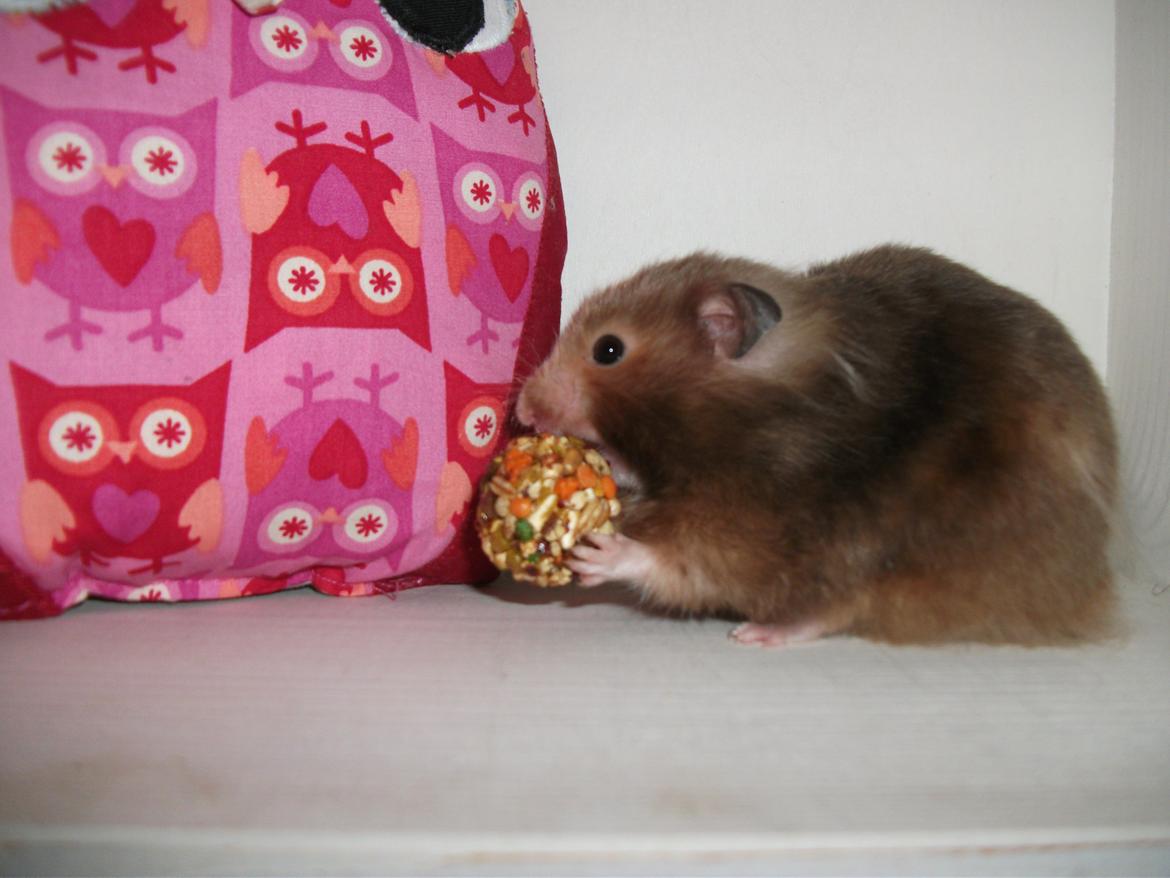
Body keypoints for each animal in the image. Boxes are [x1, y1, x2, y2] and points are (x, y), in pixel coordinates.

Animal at [514, 245, 1118, 646]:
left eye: (608, 349)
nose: (522, 409)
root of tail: (1095, 578)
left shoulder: (767, 516)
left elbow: (687, 561)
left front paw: (598, 552)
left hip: (899, 557)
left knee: (837, 607)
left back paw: (757, 633)